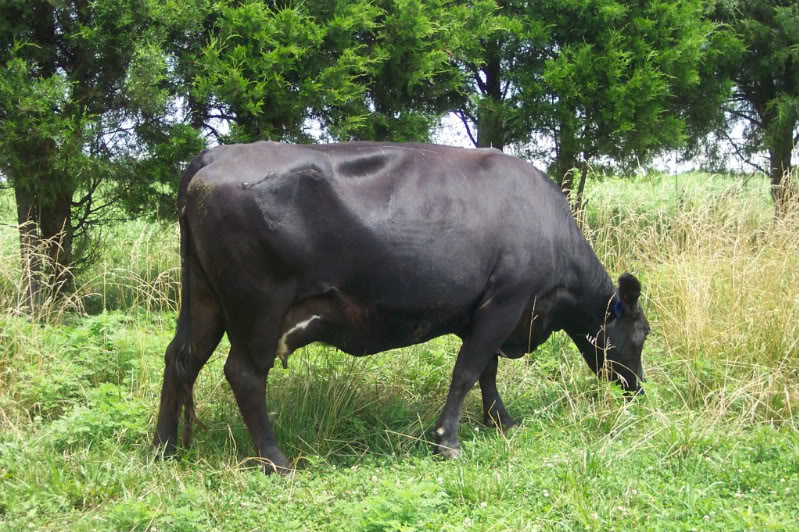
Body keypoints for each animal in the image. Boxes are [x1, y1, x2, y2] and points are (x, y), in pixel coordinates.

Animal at [152, 141, 648, 474]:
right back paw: (277, 462)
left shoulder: (481, 310)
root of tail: (215, 157)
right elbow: (467, 371)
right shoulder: (506, 300)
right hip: (258, 307)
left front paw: (500, 420)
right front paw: (448, 442)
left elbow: (486, 371)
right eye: (642, 335)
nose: (639, 389)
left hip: (204, 301)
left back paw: (163, 447)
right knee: (244, 374)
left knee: (180, 359)